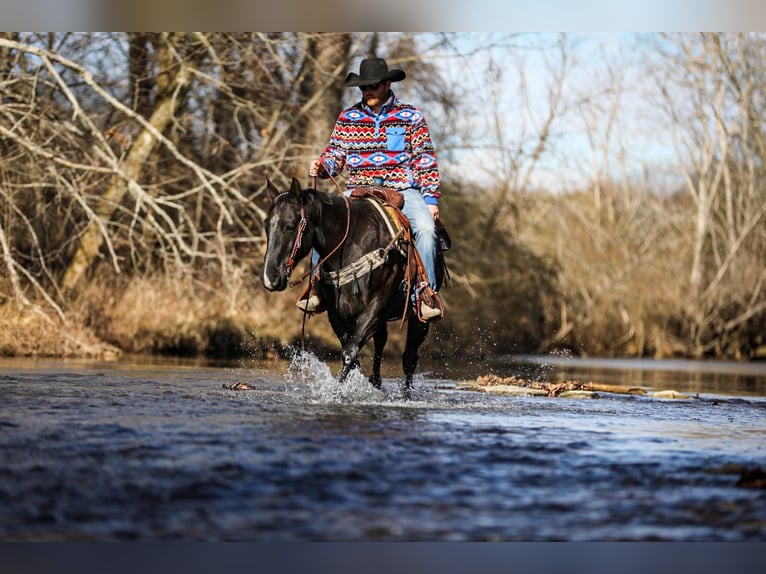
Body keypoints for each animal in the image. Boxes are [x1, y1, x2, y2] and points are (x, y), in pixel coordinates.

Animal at [260, 177, 436, 392]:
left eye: (290, 226)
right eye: (267, 225)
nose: (269, 277)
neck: (352, 243)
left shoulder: (375, 307)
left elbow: (350, 353)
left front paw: (338, 392)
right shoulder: (336, 314)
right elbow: (353, 355)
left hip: (418, 319)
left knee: (409, 357)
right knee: (381, 341)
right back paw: (375, 382)